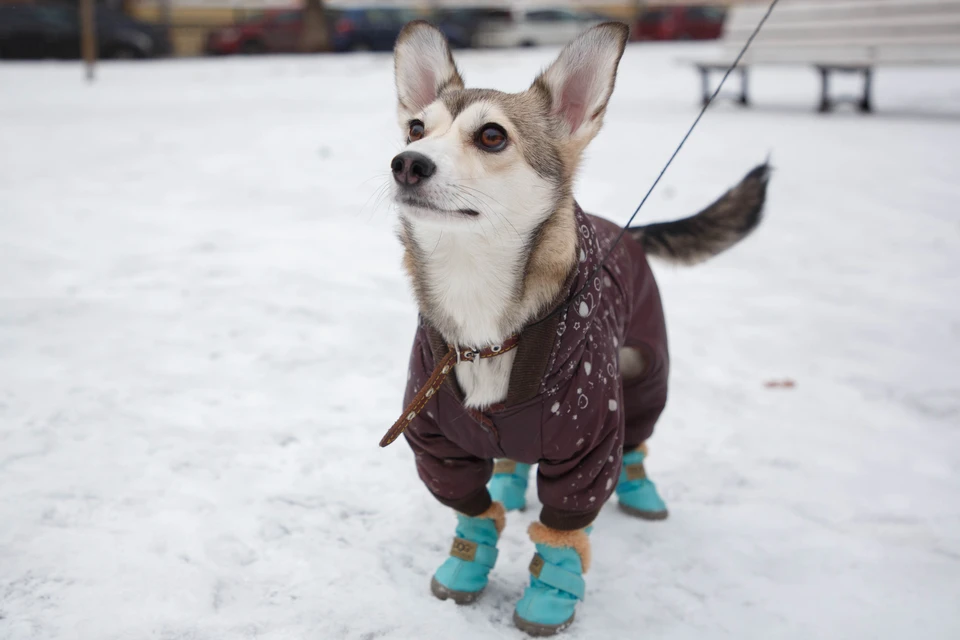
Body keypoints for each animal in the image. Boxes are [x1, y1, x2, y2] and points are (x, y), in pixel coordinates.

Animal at [380, 18, 764, 636]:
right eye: (416, 127)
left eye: (492, 136)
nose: (407, 162)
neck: (483, 319)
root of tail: (626, 231)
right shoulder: (436, 443)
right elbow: (471, 509)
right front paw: (466, 566)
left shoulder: (589, 440)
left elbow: (565, 529)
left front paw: (551, 596)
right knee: (513, 459)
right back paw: (510, 480)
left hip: (644, 369)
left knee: (637, 440)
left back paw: (641, 491)